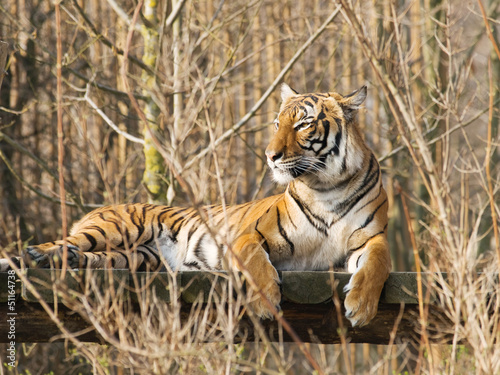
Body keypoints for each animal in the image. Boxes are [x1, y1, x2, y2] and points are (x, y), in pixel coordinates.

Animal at [0, 84, 390, 326]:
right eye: (278, 123)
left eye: (304, 124)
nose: (270, 155)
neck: (327, 188)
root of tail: (96, 211)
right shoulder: (248, 237)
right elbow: (256, 263)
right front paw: (265, 304)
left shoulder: (371, 239)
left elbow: (377, 263)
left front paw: (361, 307)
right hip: (114, 228)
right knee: (59, 243)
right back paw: (33, 255)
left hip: (137, 257)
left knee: (92, 259)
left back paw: (59, 260)